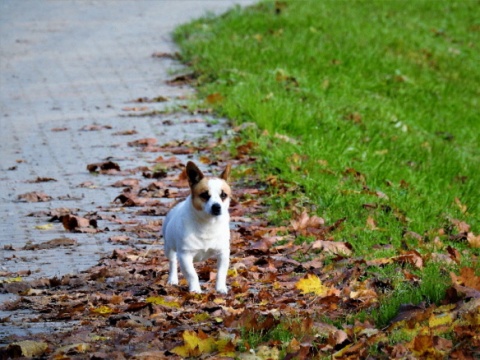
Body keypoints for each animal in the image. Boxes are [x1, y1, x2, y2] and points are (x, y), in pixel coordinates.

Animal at [162, 160, 232, 292]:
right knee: (172, 262)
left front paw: (221, 289)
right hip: (169, 247)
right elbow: (192, 274)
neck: (208, 224)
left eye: (223, 195)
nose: (217, 207)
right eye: (204, 195)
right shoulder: (185, 255)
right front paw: (195, 291)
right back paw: (172, 280)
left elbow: (221, 273)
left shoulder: (223, 253)